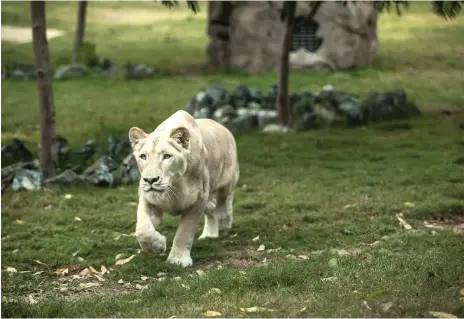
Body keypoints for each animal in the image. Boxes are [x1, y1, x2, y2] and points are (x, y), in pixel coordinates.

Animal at [130, 110, 241, 268]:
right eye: (143, 156)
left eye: (167, 156)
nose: (150, 180)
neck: (174, 185)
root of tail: (223, 127)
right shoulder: (148, 198)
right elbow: (142, 230)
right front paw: (157, 245)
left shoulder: (198, 200)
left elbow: (185, 232)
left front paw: (178, 260)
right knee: (212, 208)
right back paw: (209, 234)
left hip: (227, 181)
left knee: (224, 201)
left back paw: (224, 221)